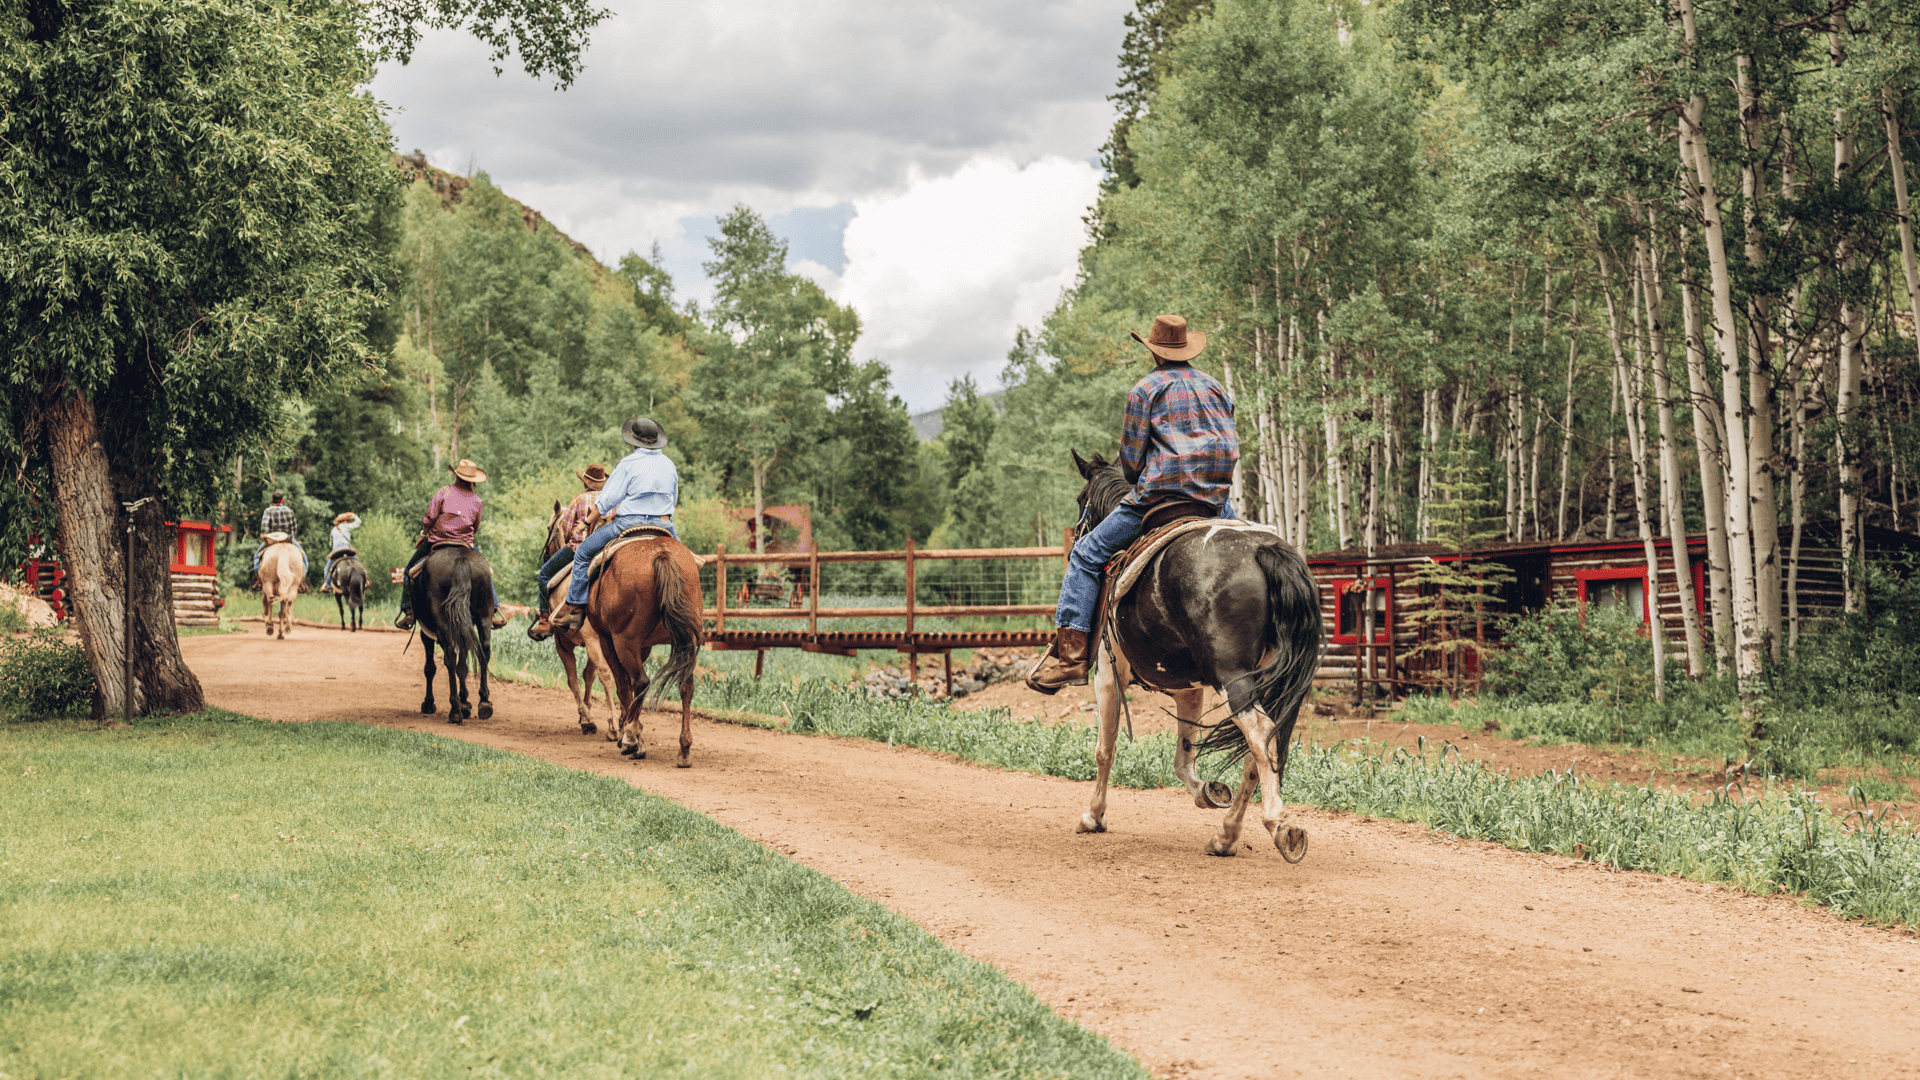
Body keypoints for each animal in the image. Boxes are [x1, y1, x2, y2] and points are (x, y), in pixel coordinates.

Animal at [412, 545, 495, 722]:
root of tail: (460, 558)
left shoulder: (426, 634)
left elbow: (430, 668)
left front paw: (429, 703)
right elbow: (462, 666)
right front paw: (466, 702)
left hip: (442, 618)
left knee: (450, 656)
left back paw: (455, 710)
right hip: (484, 614)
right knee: (484, 650)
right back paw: (484, 702)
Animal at [526, 499, 614, 734]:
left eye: (550, 527)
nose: (547, 556)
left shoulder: (563, 643)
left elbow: (573, 680)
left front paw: (586, 718)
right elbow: (587, 676)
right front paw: (588, 714)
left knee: (606, 674)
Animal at [587, 530, 710, 764]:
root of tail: (662, 553)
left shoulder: (609, 641)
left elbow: (624, 686)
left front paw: (629, 735)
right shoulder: (643, 646)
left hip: (624, 641)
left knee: (641, 682)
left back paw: (632, 738)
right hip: (688, 640)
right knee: (686, 685)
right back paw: (684, 749)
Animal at [1067, 445, 1320, 857]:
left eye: (1079, 499)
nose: (1076, 538)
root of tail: (1266, 550)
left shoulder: (1107, 669)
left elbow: (1106, 748)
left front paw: (1094, 816)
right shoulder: (1188, 688)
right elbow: (1184, 757)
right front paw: (1208, 792)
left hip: (1234, 678)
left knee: (1259, 732)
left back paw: (1280, 825)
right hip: (1275, 683)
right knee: (1261, 747)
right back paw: (1226, 835)